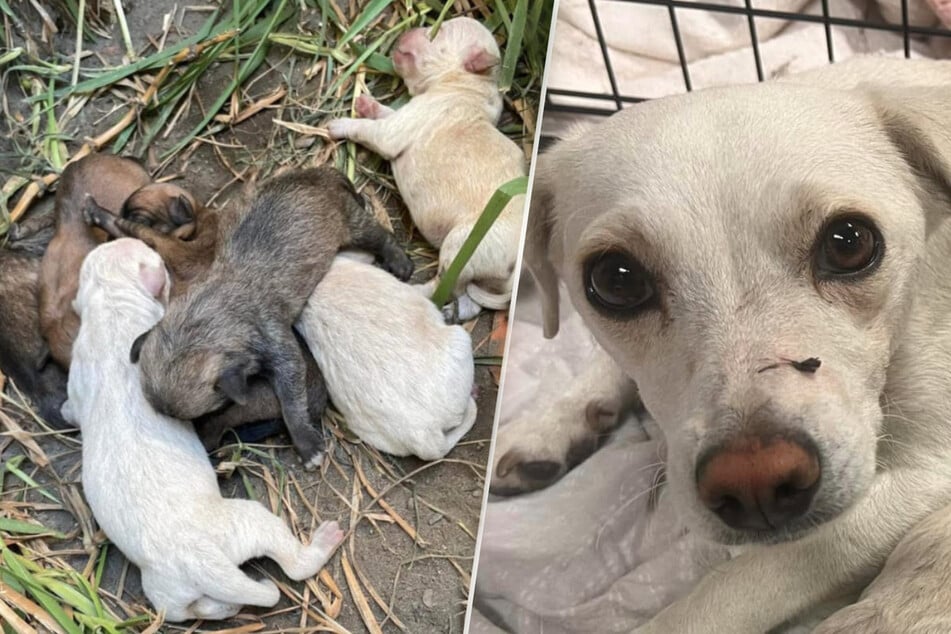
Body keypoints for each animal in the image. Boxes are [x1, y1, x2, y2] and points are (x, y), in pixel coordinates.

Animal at [65, 238, 346, 624]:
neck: (111, 307)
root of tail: (199, 563)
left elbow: (70, 408)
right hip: (250, 520)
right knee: (295, 564)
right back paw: (326, 538)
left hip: (167, 596)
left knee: (205, 607)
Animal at [129, 165, 412, 466]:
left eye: (206, 414)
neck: (212, 313)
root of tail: (314, 174)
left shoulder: (282, 349)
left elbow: (292, 402)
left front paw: (307, 444)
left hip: (350, 219)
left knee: (379, 234)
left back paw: (399, 259)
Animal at [330, 17, 528, 324]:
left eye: (438, 33)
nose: (407, 31)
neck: (469, 84)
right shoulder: (406, 113)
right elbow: (387, 112)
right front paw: (365, 103)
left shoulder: (404, 125)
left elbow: (372, 131)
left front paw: (337, 124)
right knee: (468, 301)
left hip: (465, 243)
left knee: (444, 284)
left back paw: (410, 292)